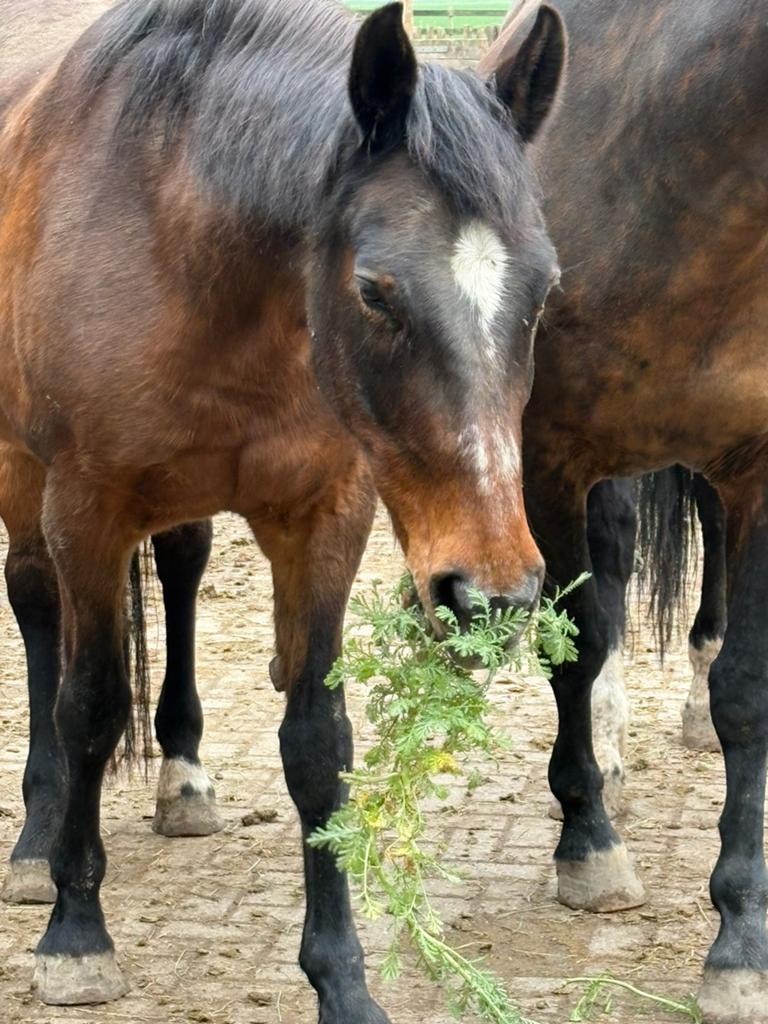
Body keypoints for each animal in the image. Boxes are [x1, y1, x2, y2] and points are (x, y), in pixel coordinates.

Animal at [0, 0, 565, 1013]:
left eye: (543, 291)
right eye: (375, 292)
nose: (491, 596)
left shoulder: (324, 520)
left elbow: (317, 743)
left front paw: (342, 981)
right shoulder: (86, 513)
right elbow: (90, 708)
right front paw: (76, 934)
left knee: (182, 565)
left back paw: (183, 779)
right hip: (23, 481)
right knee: (34, 608)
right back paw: (37, 840)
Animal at [484, 2, 768, 1019]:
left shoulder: (760, 465)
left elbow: (748, 694)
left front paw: (741, 937)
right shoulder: (549, 459)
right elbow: (576, 647)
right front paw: (589, 848)